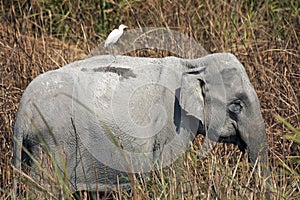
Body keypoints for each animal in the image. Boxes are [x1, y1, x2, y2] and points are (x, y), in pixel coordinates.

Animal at [12, 52, 268, 194]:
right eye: (236, 106)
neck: (193, 63)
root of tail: (22, 111)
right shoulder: (171, 122)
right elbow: (170, 172)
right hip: (52, 142)